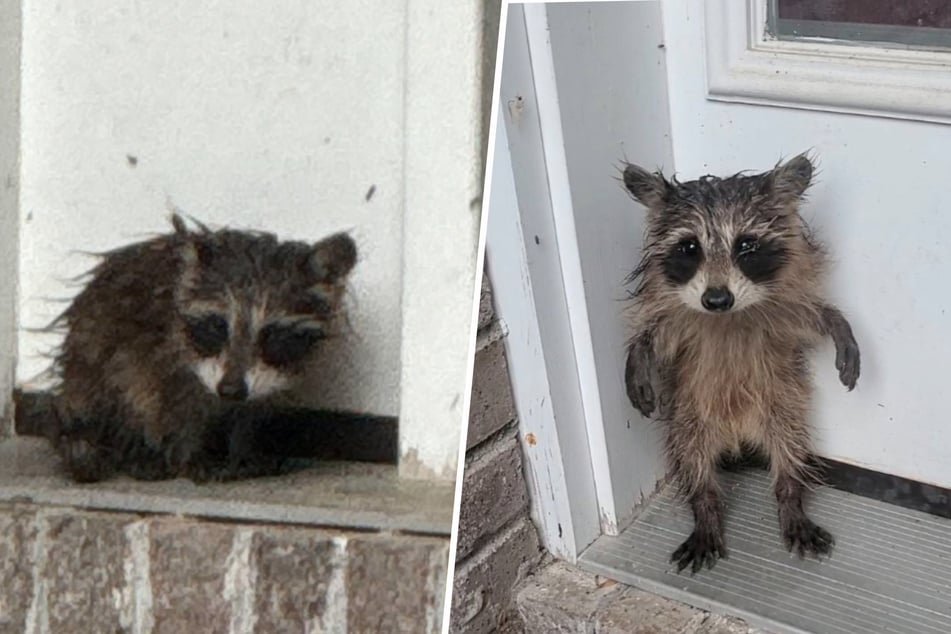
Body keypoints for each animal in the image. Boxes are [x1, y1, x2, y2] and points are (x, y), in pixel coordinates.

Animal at [48, 214, 357, 483]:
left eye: (271, 335)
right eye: (217, 326)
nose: (230, 391)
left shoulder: (267, 379)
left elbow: (248, 412)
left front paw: (242, 448)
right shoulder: (163, 357)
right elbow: (172, 409)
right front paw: (189, 454)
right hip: (93, 359)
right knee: (125, 390)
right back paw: (134, 450)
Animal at [621, 153, 860, 574]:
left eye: (746, 245)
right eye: (689, 247)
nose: (717, 300)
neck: (728, 318)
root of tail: (738, 436)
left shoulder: (782, 313)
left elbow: (813, 316)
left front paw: (838, 324)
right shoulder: (679, 320)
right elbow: (655, 335)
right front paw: (638, 354)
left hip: (781, 403)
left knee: (790, 446)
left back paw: (790, 495)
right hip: (690, 414)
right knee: (692, 456)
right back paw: (705, 507)